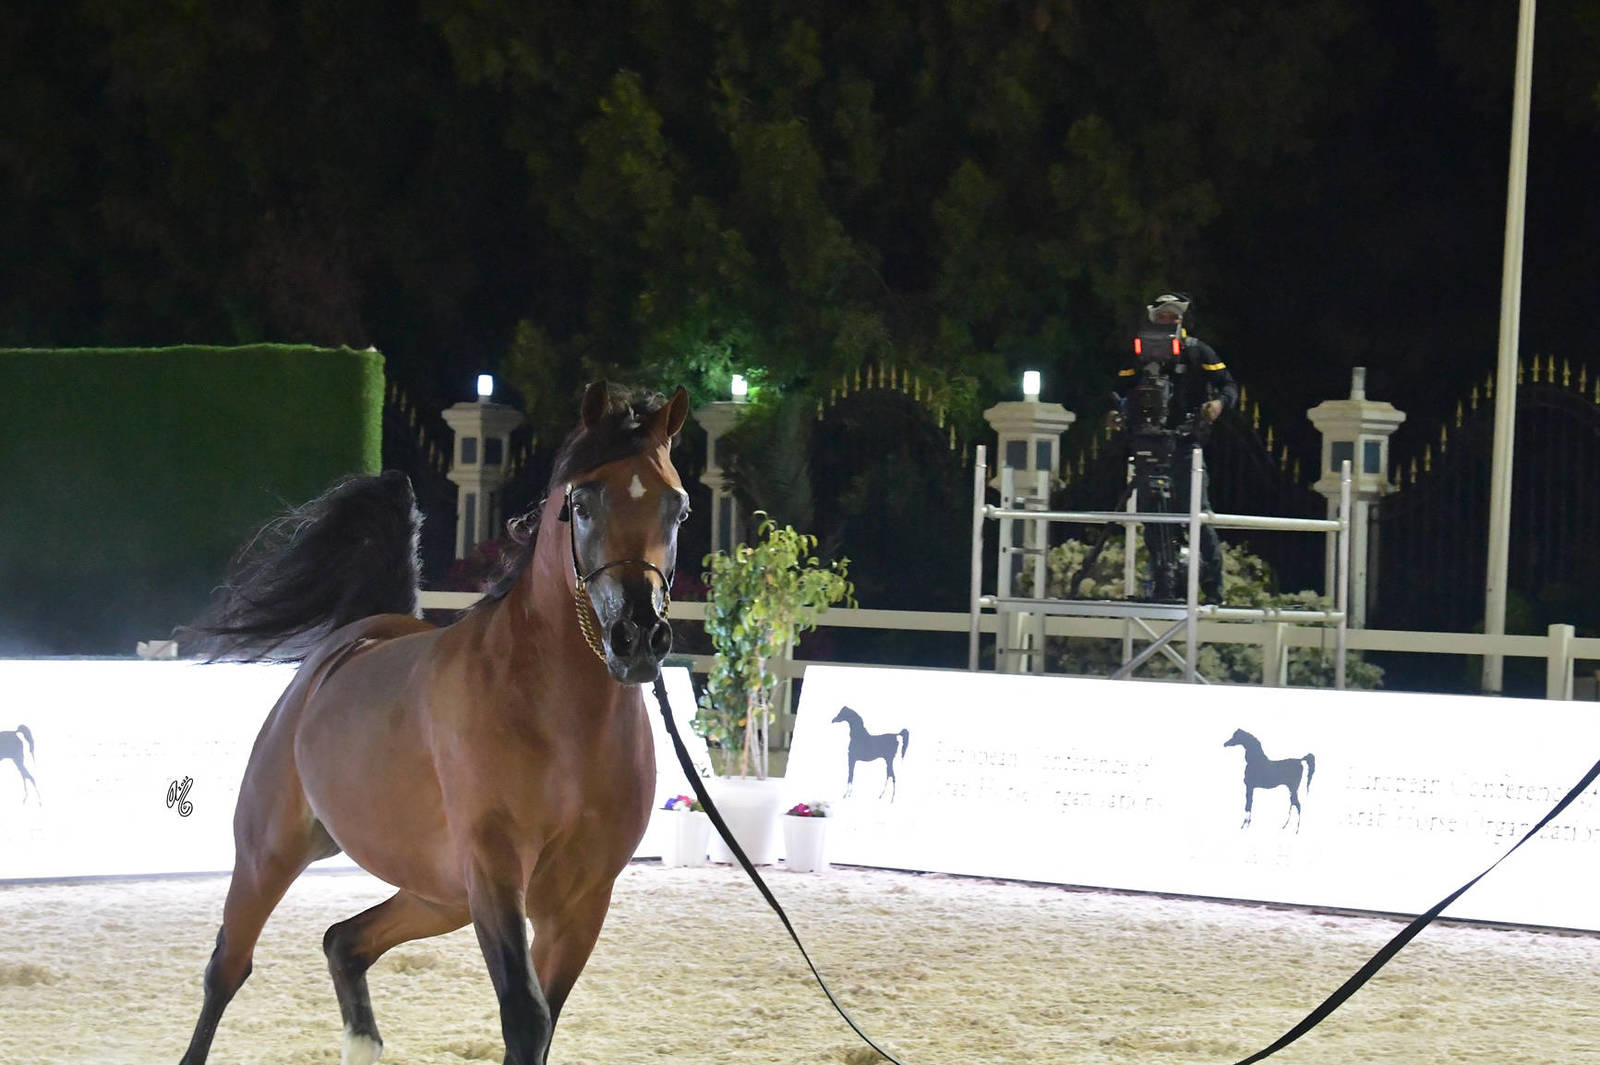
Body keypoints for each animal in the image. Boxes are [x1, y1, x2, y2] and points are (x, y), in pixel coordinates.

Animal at [175, 382, 689, 1065]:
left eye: (678, 507)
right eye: (582, 502)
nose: (638, 637)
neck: (560, 722)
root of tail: (352, 641)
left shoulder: (580, 902)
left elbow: (545, 1020)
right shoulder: (495, 873)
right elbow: (526, 1017)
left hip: (438, 894)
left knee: (345, 941)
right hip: (270, 853)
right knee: (227, 968)